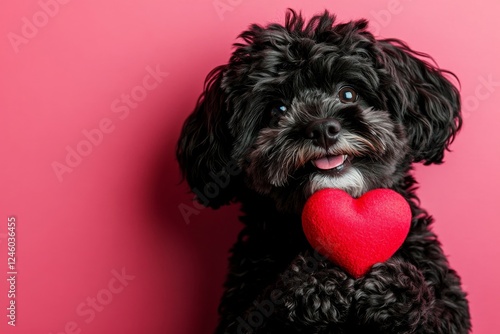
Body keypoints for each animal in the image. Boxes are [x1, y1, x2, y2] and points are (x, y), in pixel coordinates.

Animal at [178, 9, 470, 332]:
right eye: (278, 109)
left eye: (348, 94)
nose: (321, 129)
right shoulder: (236, 316)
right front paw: (316, 285)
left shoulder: (451, 307)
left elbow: (433, 313)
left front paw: (393, 288)